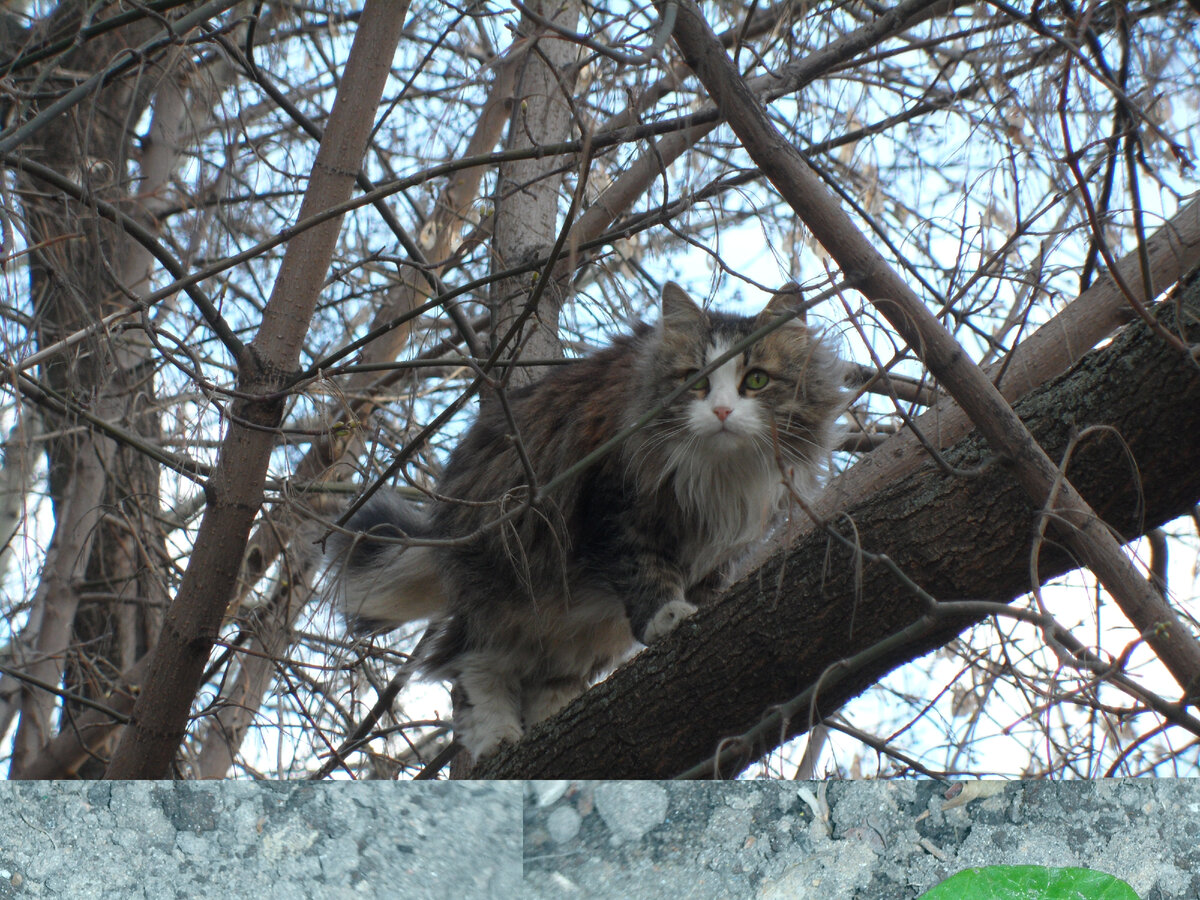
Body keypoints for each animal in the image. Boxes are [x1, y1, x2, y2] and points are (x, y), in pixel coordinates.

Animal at [328, 282, 844, 763]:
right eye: (693, 381)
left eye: (755, 380)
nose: (721, 411)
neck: (721, 473)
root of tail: (448, 522)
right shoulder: (614, 506)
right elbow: (645, 570)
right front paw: (668, 615)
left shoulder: (728, 545)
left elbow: (708, 585)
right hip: (507, 580)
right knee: (471, 664)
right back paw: (497, 736)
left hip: (579, 631)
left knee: (547, 678)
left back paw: (551, 722)